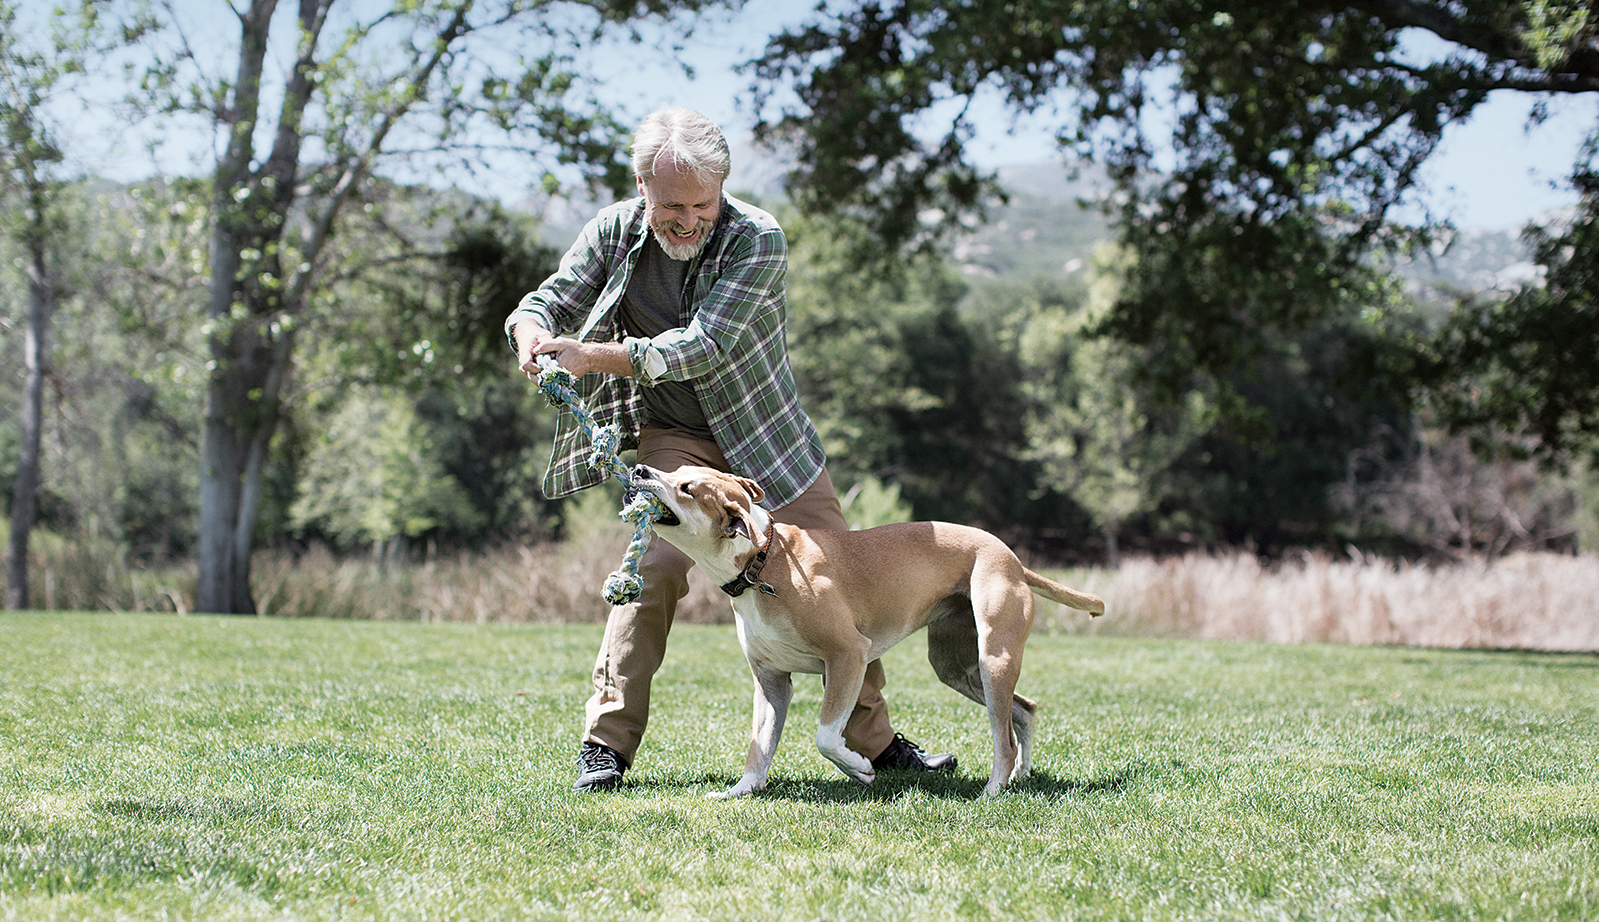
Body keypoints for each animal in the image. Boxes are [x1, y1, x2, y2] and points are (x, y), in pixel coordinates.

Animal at [630, 463, 1106, 795]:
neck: (761, 562)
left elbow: (826, 735)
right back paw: (1020, 774)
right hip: (956, 667)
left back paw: (993, 788)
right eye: (675, 470)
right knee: (1023, 710)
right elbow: (759, 745)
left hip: (993, 658)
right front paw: (742, 790)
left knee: (1002, 736)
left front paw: (858, 767)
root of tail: (1013, 559)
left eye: (688, 488)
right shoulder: (771, 682)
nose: (639, 469)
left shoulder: (847, 656)